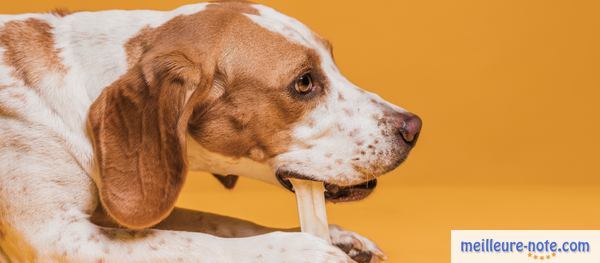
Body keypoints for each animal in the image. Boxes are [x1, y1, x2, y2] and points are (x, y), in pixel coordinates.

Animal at [0, 1, 420, 262]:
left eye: (333, 62)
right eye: (304, 82)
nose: (414, 127)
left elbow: (220, 223)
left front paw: (335, 238)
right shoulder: (57, 236)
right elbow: (195, 244)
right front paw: (304, 251)